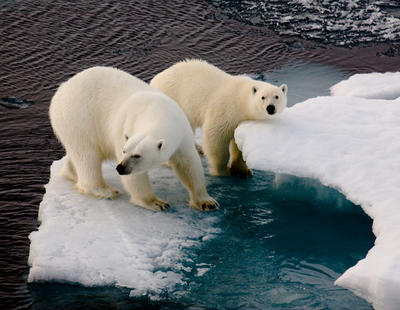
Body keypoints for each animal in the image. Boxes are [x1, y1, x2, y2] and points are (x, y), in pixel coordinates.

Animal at [50, 65, 219, 211]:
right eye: (124, 151)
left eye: (137, 155)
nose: (120, 168)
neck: (158, 112)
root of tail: (61, 89)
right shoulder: (125, 127)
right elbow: (136, 178)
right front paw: (156, 202)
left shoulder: (182, 132)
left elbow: (188, 164)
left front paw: (206, 202)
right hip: (79, 118)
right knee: (87, 156)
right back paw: (105, 190)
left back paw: (71, 173)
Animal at [151, 59, 288, 178]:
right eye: (263, 97)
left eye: (277, 96)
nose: (270, 108)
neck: (241, 100)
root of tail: (154, 80)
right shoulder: (225, 110)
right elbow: (215, 137)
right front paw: (222, 170)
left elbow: (239, 143)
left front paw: (243, 171)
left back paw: (198, 149)